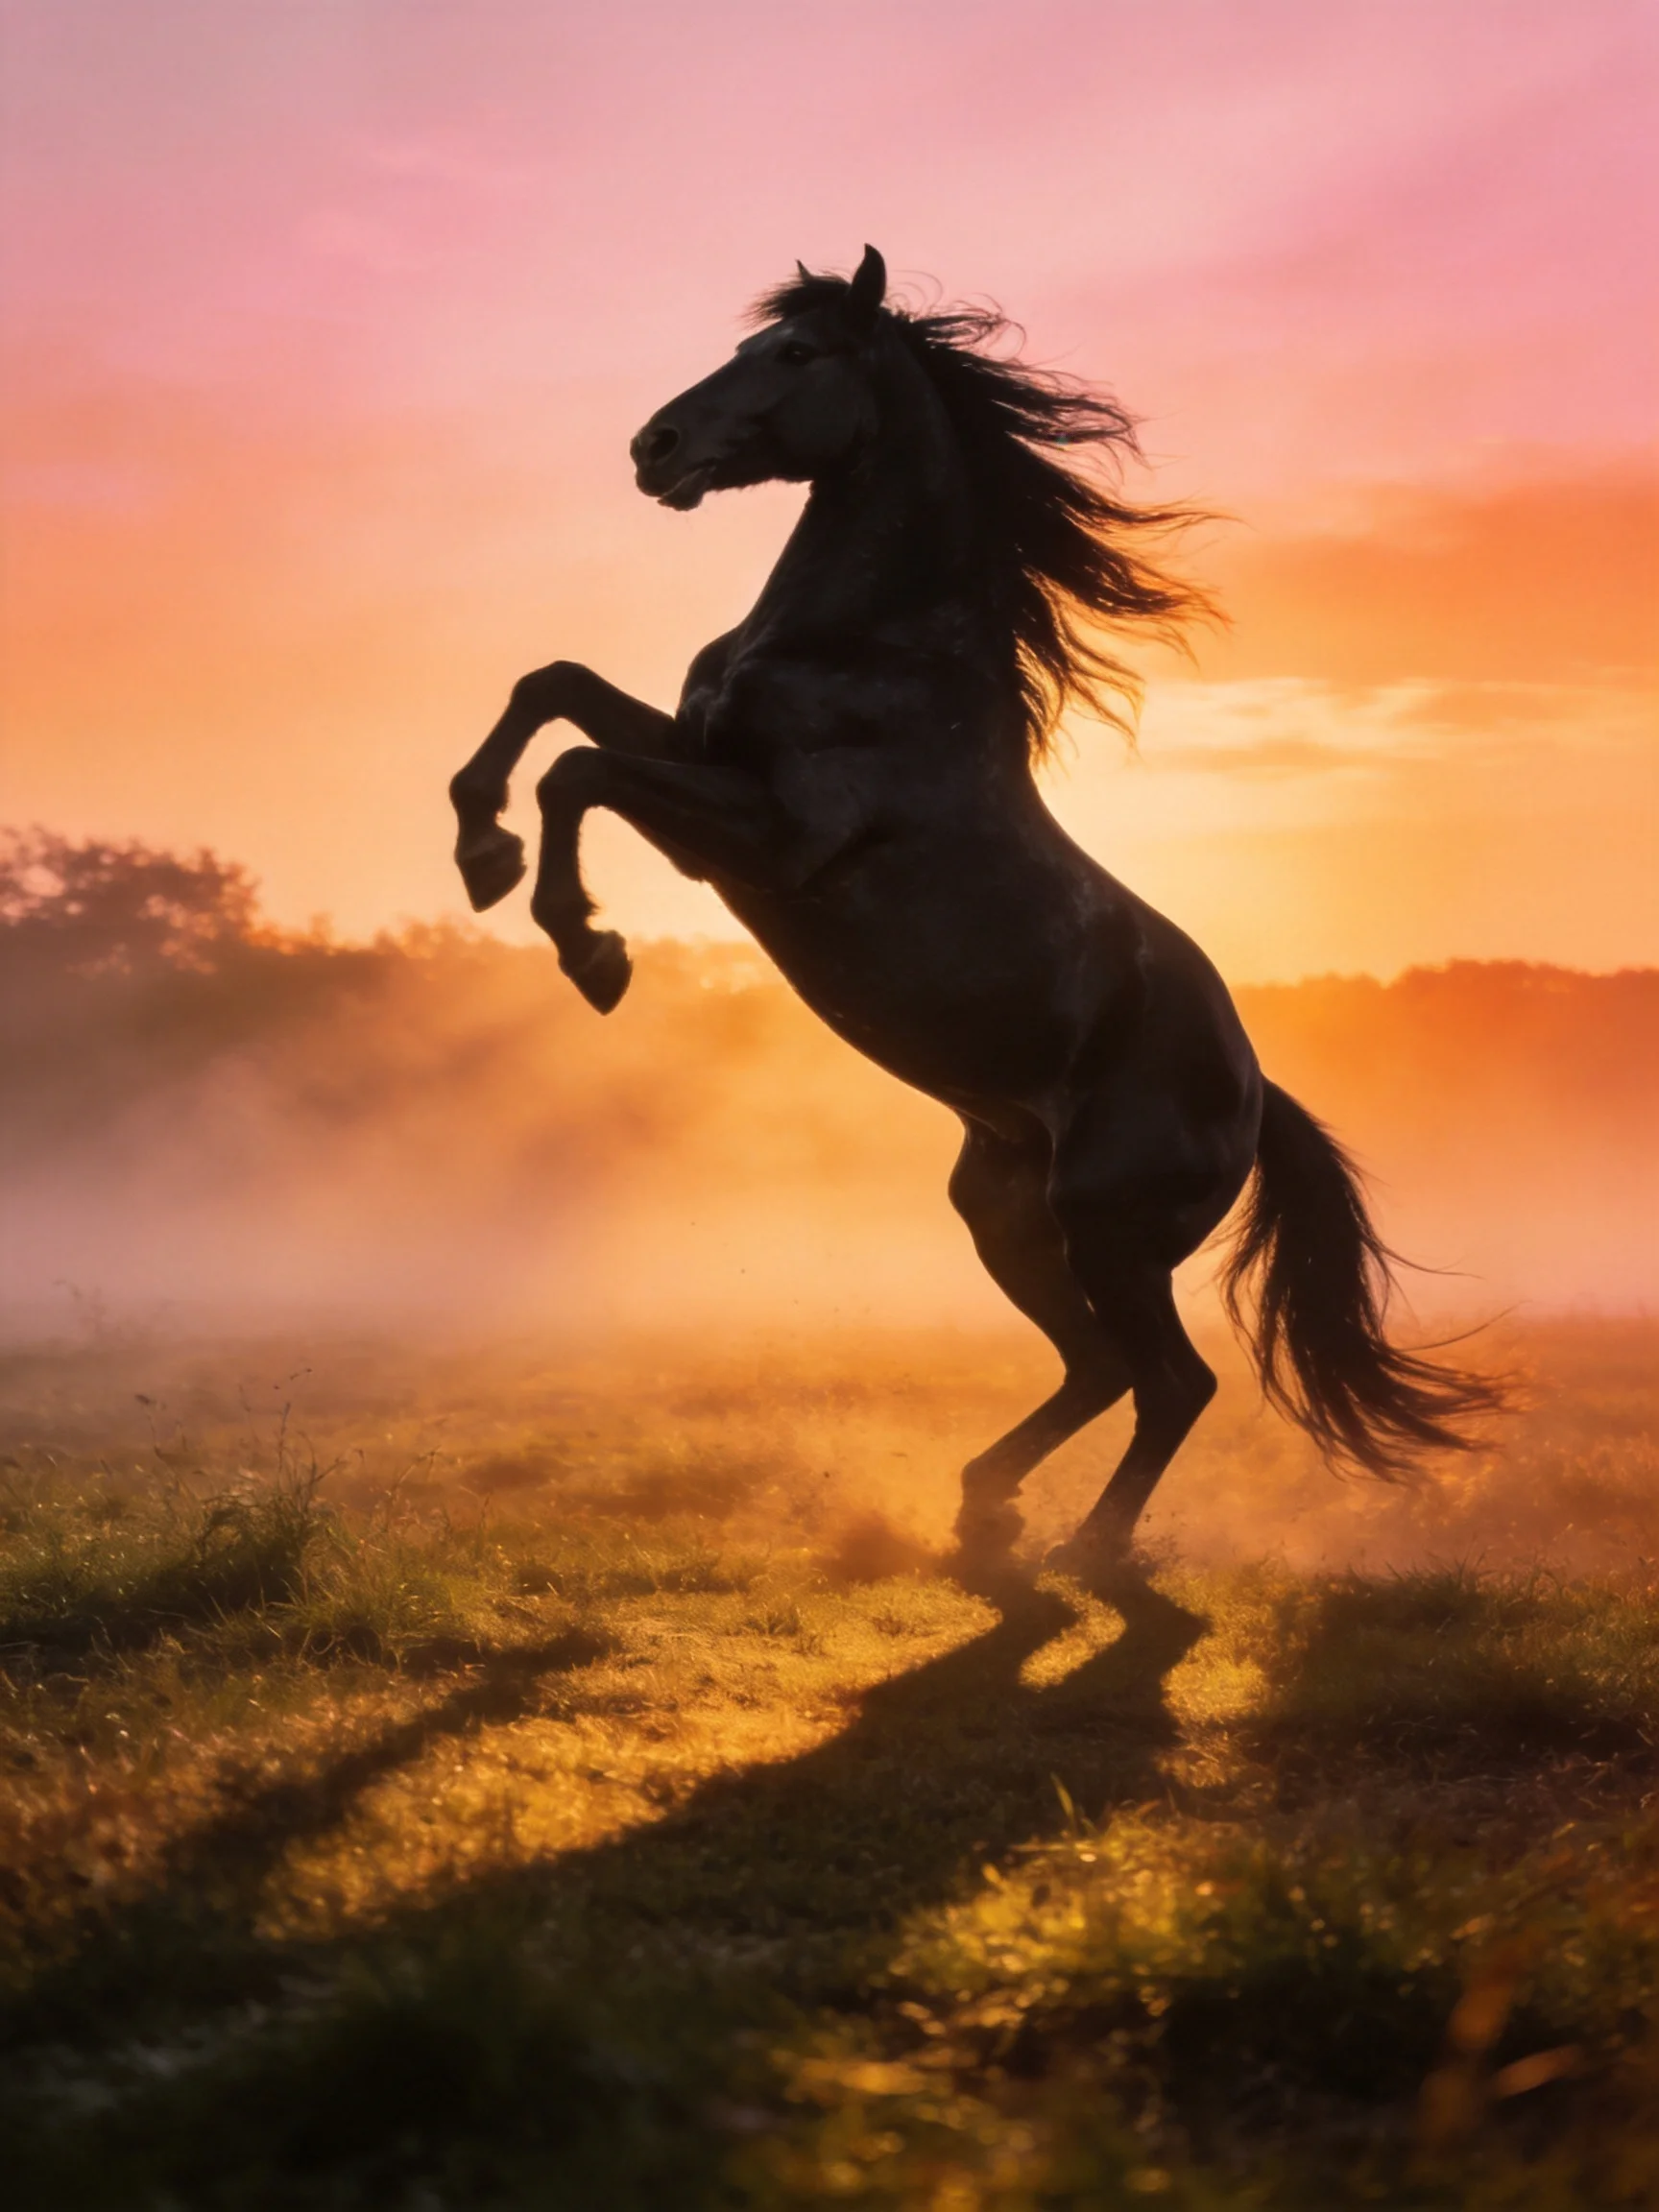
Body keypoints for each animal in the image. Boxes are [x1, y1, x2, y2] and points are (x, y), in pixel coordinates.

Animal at [448, 246, 1501, 1566]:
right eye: (746, 349)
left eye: (798, 355)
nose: (655, 446)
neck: (869, 647)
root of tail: (1258, 1099)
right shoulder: (697, 766)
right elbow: (554, 687)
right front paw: (479, 844)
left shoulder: (770, 840)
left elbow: (576, 769)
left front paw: (586, 945)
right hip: (1003, 1215)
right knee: (1102, 1369)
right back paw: (984, 1502)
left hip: (1109, 1229)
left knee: (1171, 1380)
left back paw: (1086, 1545)